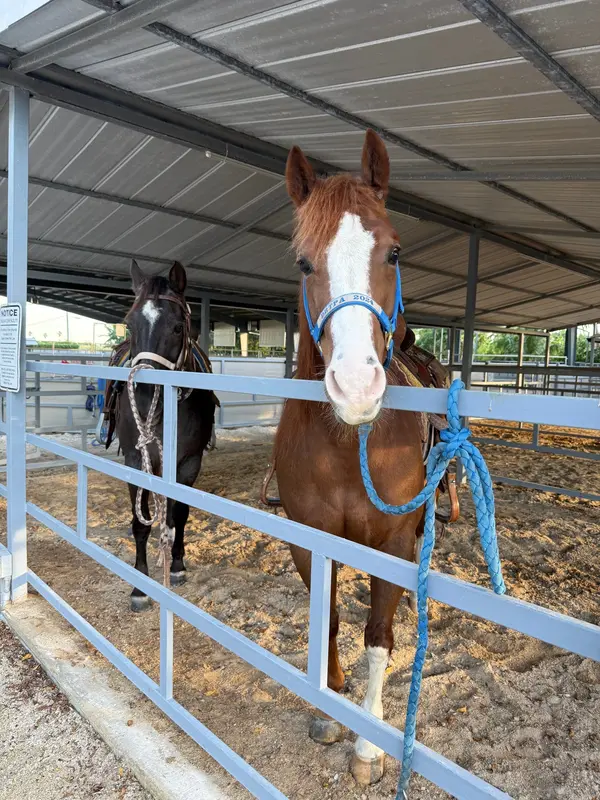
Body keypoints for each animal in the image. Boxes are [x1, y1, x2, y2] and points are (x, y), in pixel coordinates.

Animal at [106, 260, 217, 611]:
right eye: (129, 325)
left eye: (178, 328)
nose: (142, 395)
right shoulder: (134, 459)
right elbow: (140, 523)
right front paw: (140, 587)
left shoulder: (188, 462)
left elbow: (178, 515)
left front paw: (177, 566)